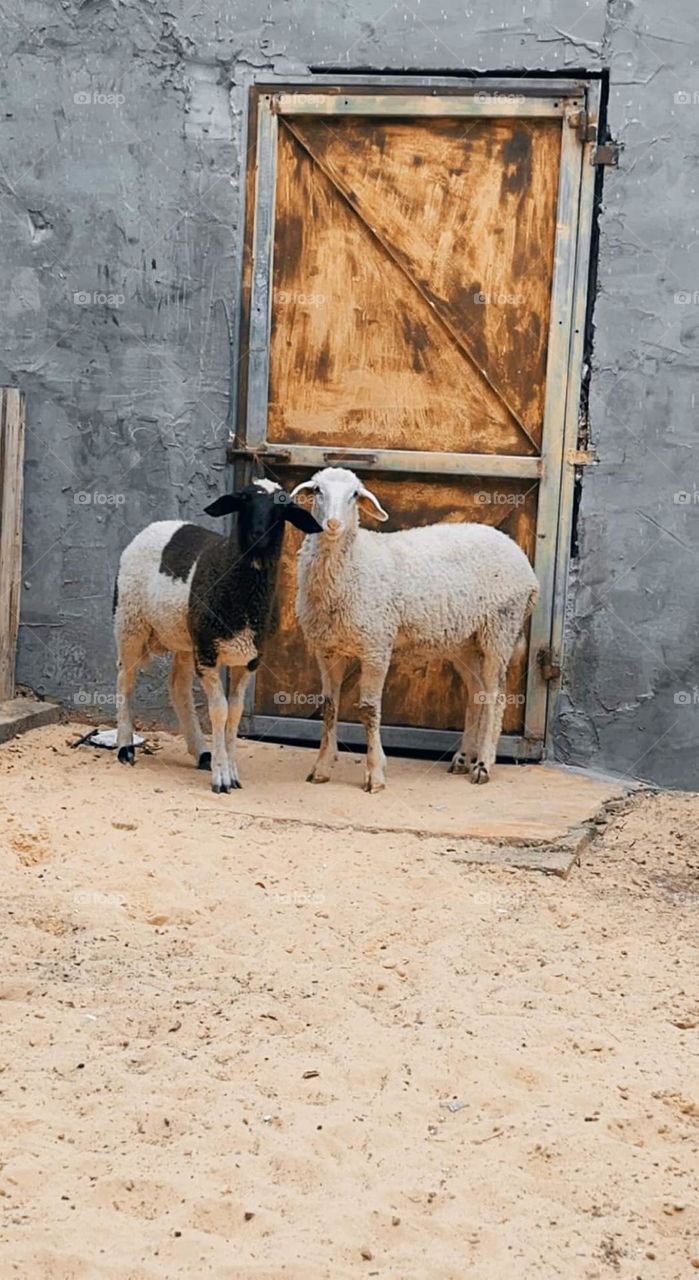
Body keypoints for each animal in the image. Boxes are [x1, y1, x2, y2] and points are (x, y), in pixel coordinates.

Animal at [113, 479, 322, 792]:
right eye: (244, 499)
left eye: (282, 505)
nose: (258, 535)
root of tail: (153, 526)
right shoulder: (209, 655)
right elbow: (219, 711)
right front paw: (221, 777)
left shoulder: (249, 659)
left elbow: (234, 712)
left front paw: (230, 771)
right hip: (130, 623)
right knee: (125, 681)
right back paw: (125, 747)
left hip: (186, 638)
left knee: (178, 688)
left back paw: (201, 752)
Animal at [290, 467, 539, 792]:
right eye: (317, 490)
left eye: (355, 495)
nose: (332, 524)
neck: (353, 563)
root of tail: (523, 560)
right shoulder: (327, 649)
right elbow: (330, 707)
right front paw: (320, 768)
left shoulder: (376, 645)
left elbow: (369, 710)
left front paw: (375, 774)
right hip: (463, 640)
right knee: (477, 691)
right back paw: (462, 758)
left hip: (500, 628)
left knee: (496, 696)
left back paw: (483, 765)